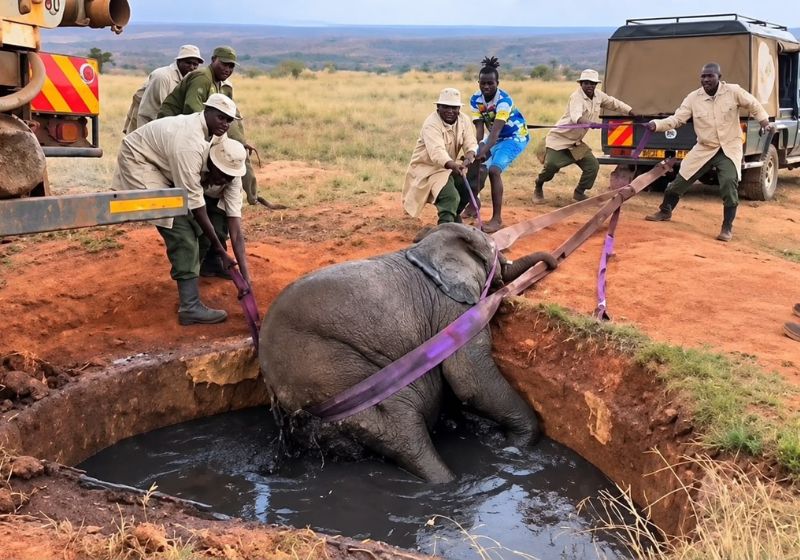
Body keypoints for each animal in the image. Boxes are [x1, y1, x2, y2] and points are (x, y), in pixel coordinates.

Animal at [259, 223, 557, 483]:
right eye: (494, 250)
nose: (552, 262)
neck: (424, 249)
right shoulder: (453, 309)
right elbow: (470, 381)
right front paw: (516, 447)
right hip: (338, 375)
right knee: (403, 426)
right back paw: (447, 482)